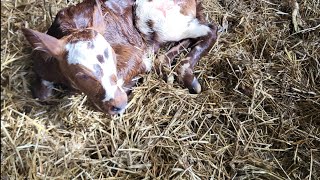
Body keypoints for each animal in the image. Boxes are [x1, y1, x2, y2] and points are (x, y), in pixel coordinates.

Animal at [21, 0, 218, 114]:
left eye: (114, 60)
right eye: (80, 74)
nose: (119, 103)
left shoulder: (135, 54)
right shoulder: (41, 63)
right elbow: (42, 95)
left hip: (158, 18)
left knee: (210, 29)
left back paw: (187, 74)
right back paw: (165, 65)